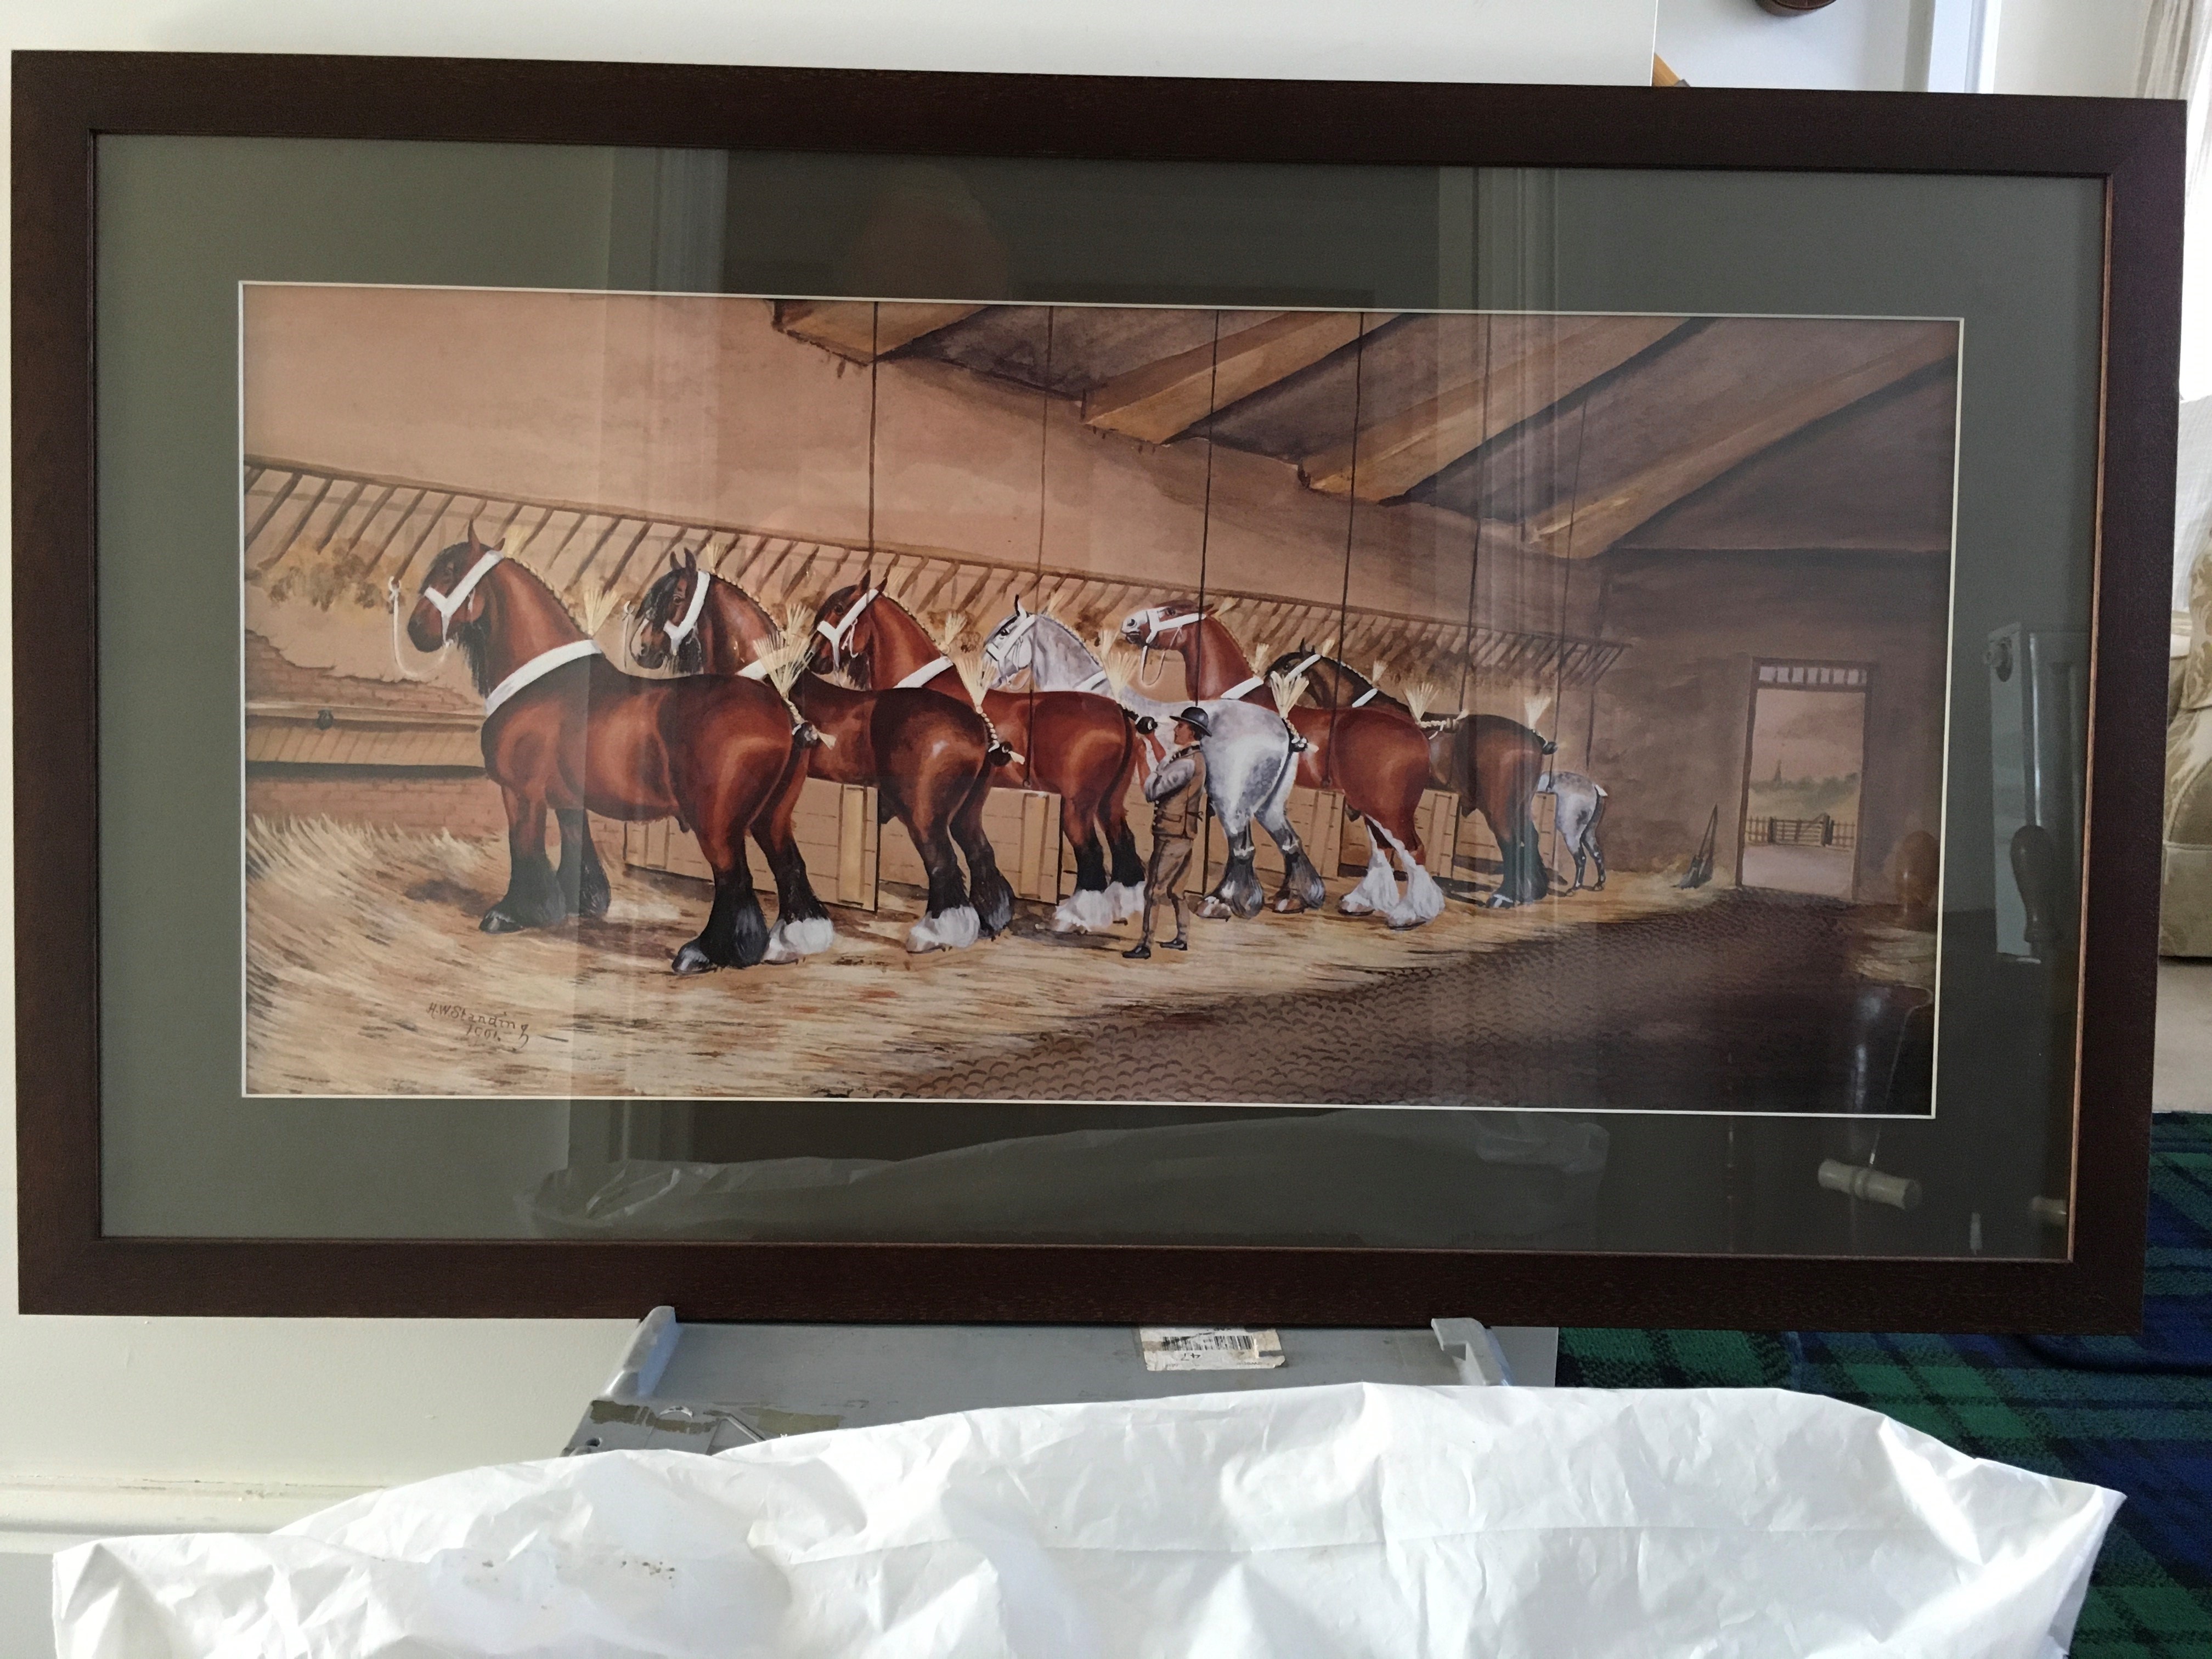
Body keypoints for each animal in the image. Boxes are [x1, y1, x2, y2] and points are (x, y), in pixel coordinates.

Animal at [407, 533, 822, 973]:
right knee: (789, 866)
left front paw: (513, 913)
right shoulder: (568, 798)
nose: (416, 629)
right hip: (772, 819)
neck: (546, 680)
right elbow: (576, 842)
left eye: (450, 572)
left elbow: (524, 846)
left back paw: (704, 953)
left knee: (734, 879)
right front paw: (581, 903)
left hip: (718, 825)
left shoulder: (522, 793)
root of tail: (781, 711)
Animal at [628, 555, 1013, 955]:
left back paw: (933, 934)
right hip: (965, 813)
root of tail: (977, 723)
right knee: (980, 852)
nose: (643, 652)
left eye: (676, 597)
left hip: (924, 814)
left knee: (944, 862)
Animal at [818, 579, 1159, 938]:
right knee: (1122, 841)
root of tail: (1120, 713)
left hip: (1078, 805)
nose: (817, 659)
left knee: (1092, 851)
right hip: (1109, 802)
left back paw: (1073, 917)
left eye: (839, 609)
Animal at [1124, 606, 1451, 929]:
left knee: (1413, 850)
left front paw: (1222, 900)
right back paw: (1361, 903)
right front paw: (1290, 897)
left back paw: (1411, 914)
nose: (1130, 622)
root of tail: (1416, 733)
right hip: (1370, 805)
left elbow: (1239, 841)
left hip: (1388, 809)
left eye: (1170, 611)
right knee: (1384, 849)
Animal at [1265, 650, 1557, 911]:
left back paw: (1504, 897)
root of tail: (1534, 739)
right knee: (1529, 839)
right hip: (1518, 805)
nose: (1265, 684)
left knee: (1511, 842)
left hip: (1499, 808)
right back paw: (1530, 893)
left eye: (1287, 665)